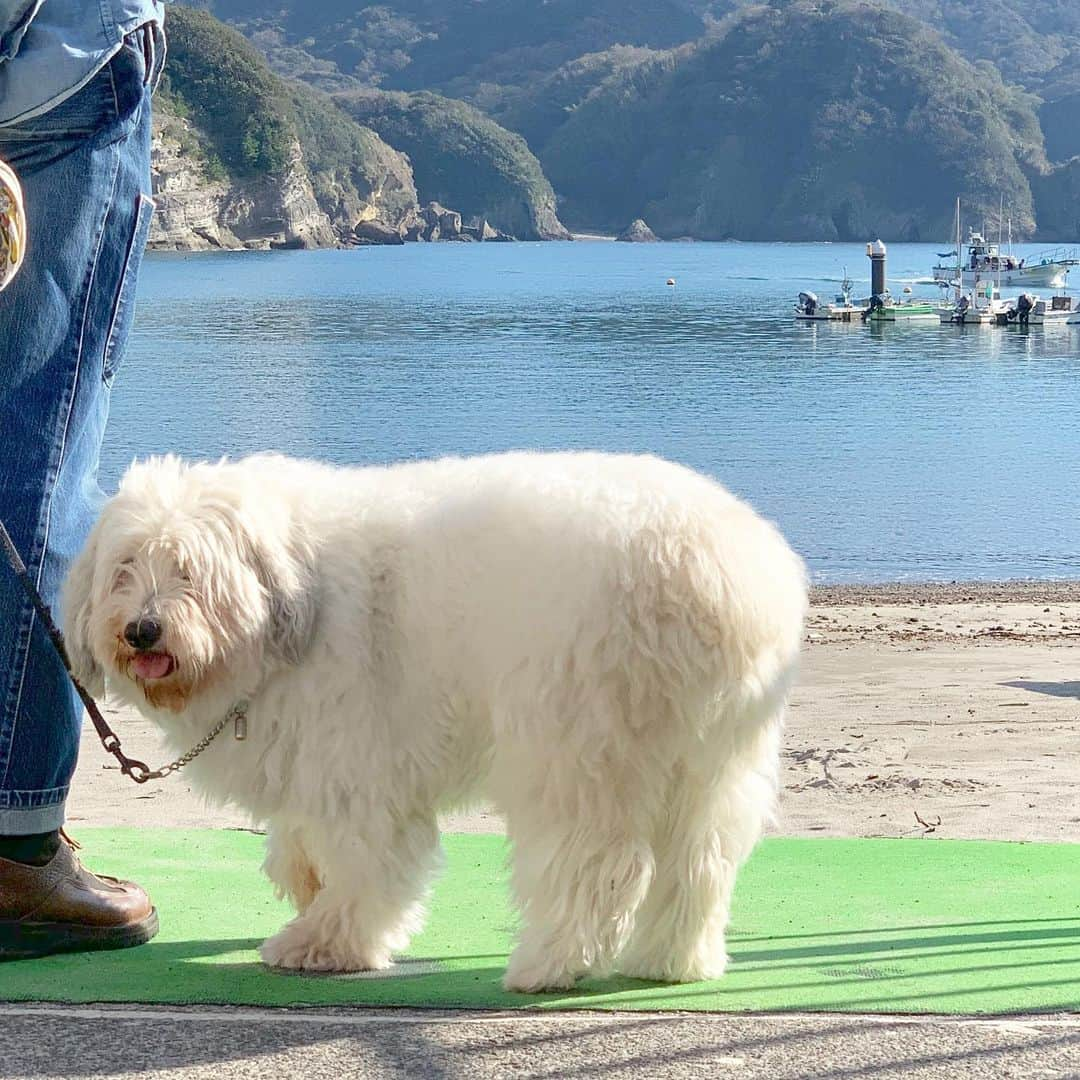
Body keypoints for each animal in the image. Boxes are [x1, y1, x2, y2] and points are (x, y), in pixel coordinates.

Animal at [63, 451, 807, 989]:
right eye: (125, 566)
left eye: (188, 570)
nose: (141, 630)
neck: (294, 596)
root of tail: (720, 570)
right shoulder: (316, 757)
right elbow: (301, 841)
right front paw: (306, 888)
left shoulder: (358, 765)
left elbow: (365, 861)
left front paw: (325, 942)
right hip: (711, 759)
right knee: (699, 862)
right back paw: (674, 961)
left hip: (576, 743)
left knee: (597, 864)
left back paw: (547, 965)